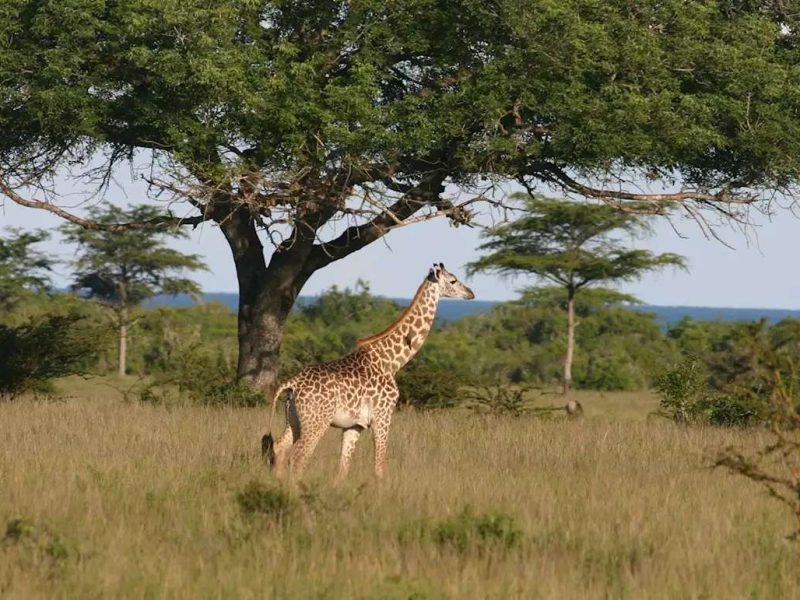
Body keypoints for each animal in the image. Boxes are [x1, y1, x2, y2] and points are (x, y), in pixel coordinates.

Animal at [262, 264, 476, 480]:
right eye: (453, 280)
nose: (471, 293)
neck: (391, 362)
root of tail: (292, 384)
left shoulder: (355, 425)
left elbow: (343, 469)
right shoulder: (383, 416)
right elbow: (379, 467)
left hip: (294, 421)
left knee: (279, 448)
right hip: (316, 423)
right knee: (298, 458)